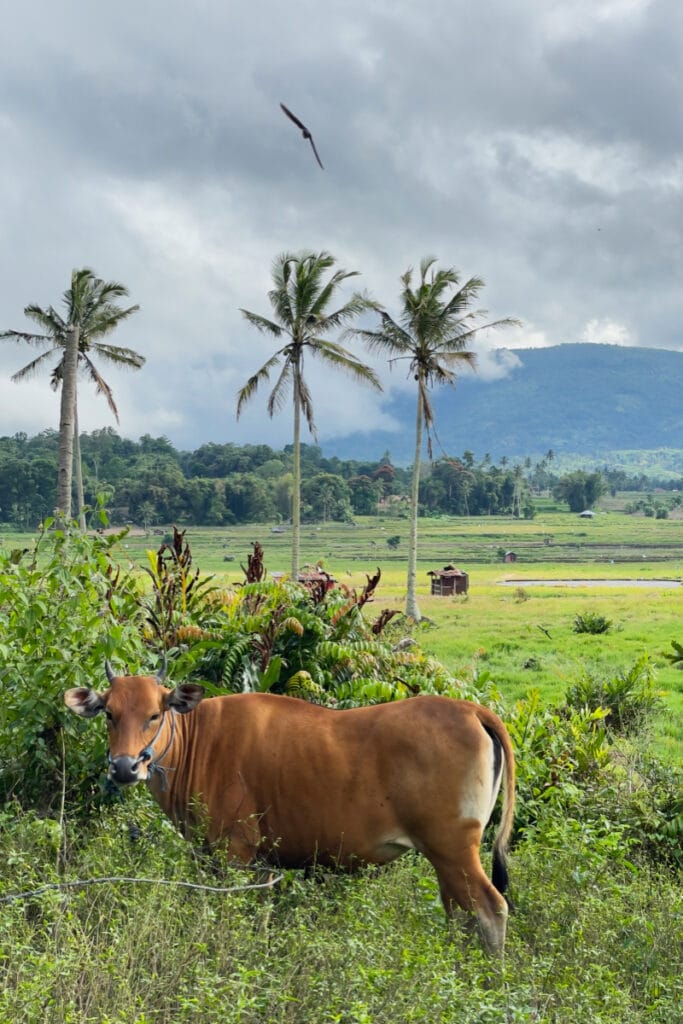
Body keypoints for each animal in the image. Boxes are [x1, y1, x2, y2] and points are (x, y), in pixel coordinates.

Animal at [64, 664, 515, 954]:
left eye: (155, 714)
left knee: (490, 909)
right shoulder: (244, 861)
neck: (200, 740)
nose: (125, 767)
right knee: (458, 911)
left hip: (453, 848)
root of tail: (471, 709)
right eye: (109, 713)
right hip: (443, 855)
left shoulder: (237, 855)